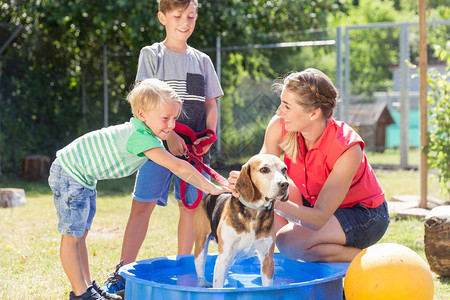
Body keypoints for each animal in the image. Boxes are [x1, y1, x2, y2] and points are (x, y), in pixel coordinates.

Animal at [192, 154, 288, 288]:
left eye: (284, 170)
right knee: (200, 270)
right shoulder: (223, 258)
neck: (254, 212)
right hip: (201, 248)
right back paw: (203, 284)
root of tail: (210, 194)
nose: (285, 184)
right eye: (264, 169)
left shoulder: (267, 260)